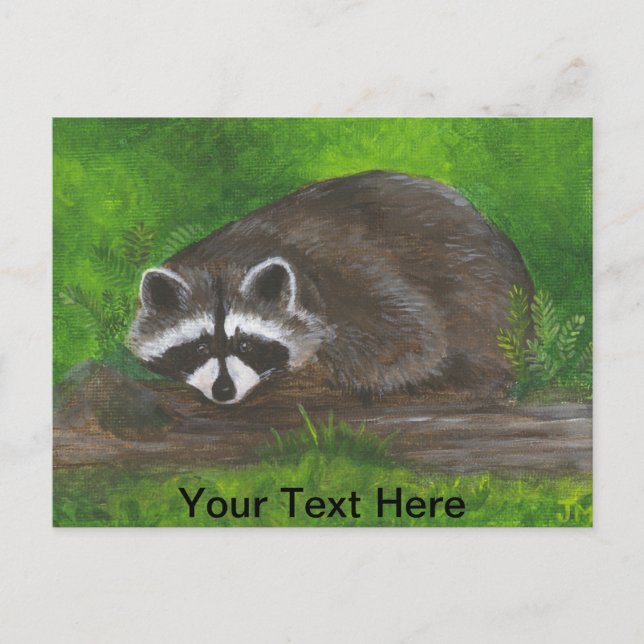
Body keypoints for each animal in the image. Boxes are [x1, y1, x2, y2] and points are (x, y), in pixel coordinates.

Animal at [128, 171, 533, 404]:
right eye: (199, 347)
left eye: (245, 345)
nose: (223, 391)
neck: (229, 258)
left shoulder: (353, 276)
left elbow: (415, 339)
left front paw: (312, 375)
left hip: (484, 306)